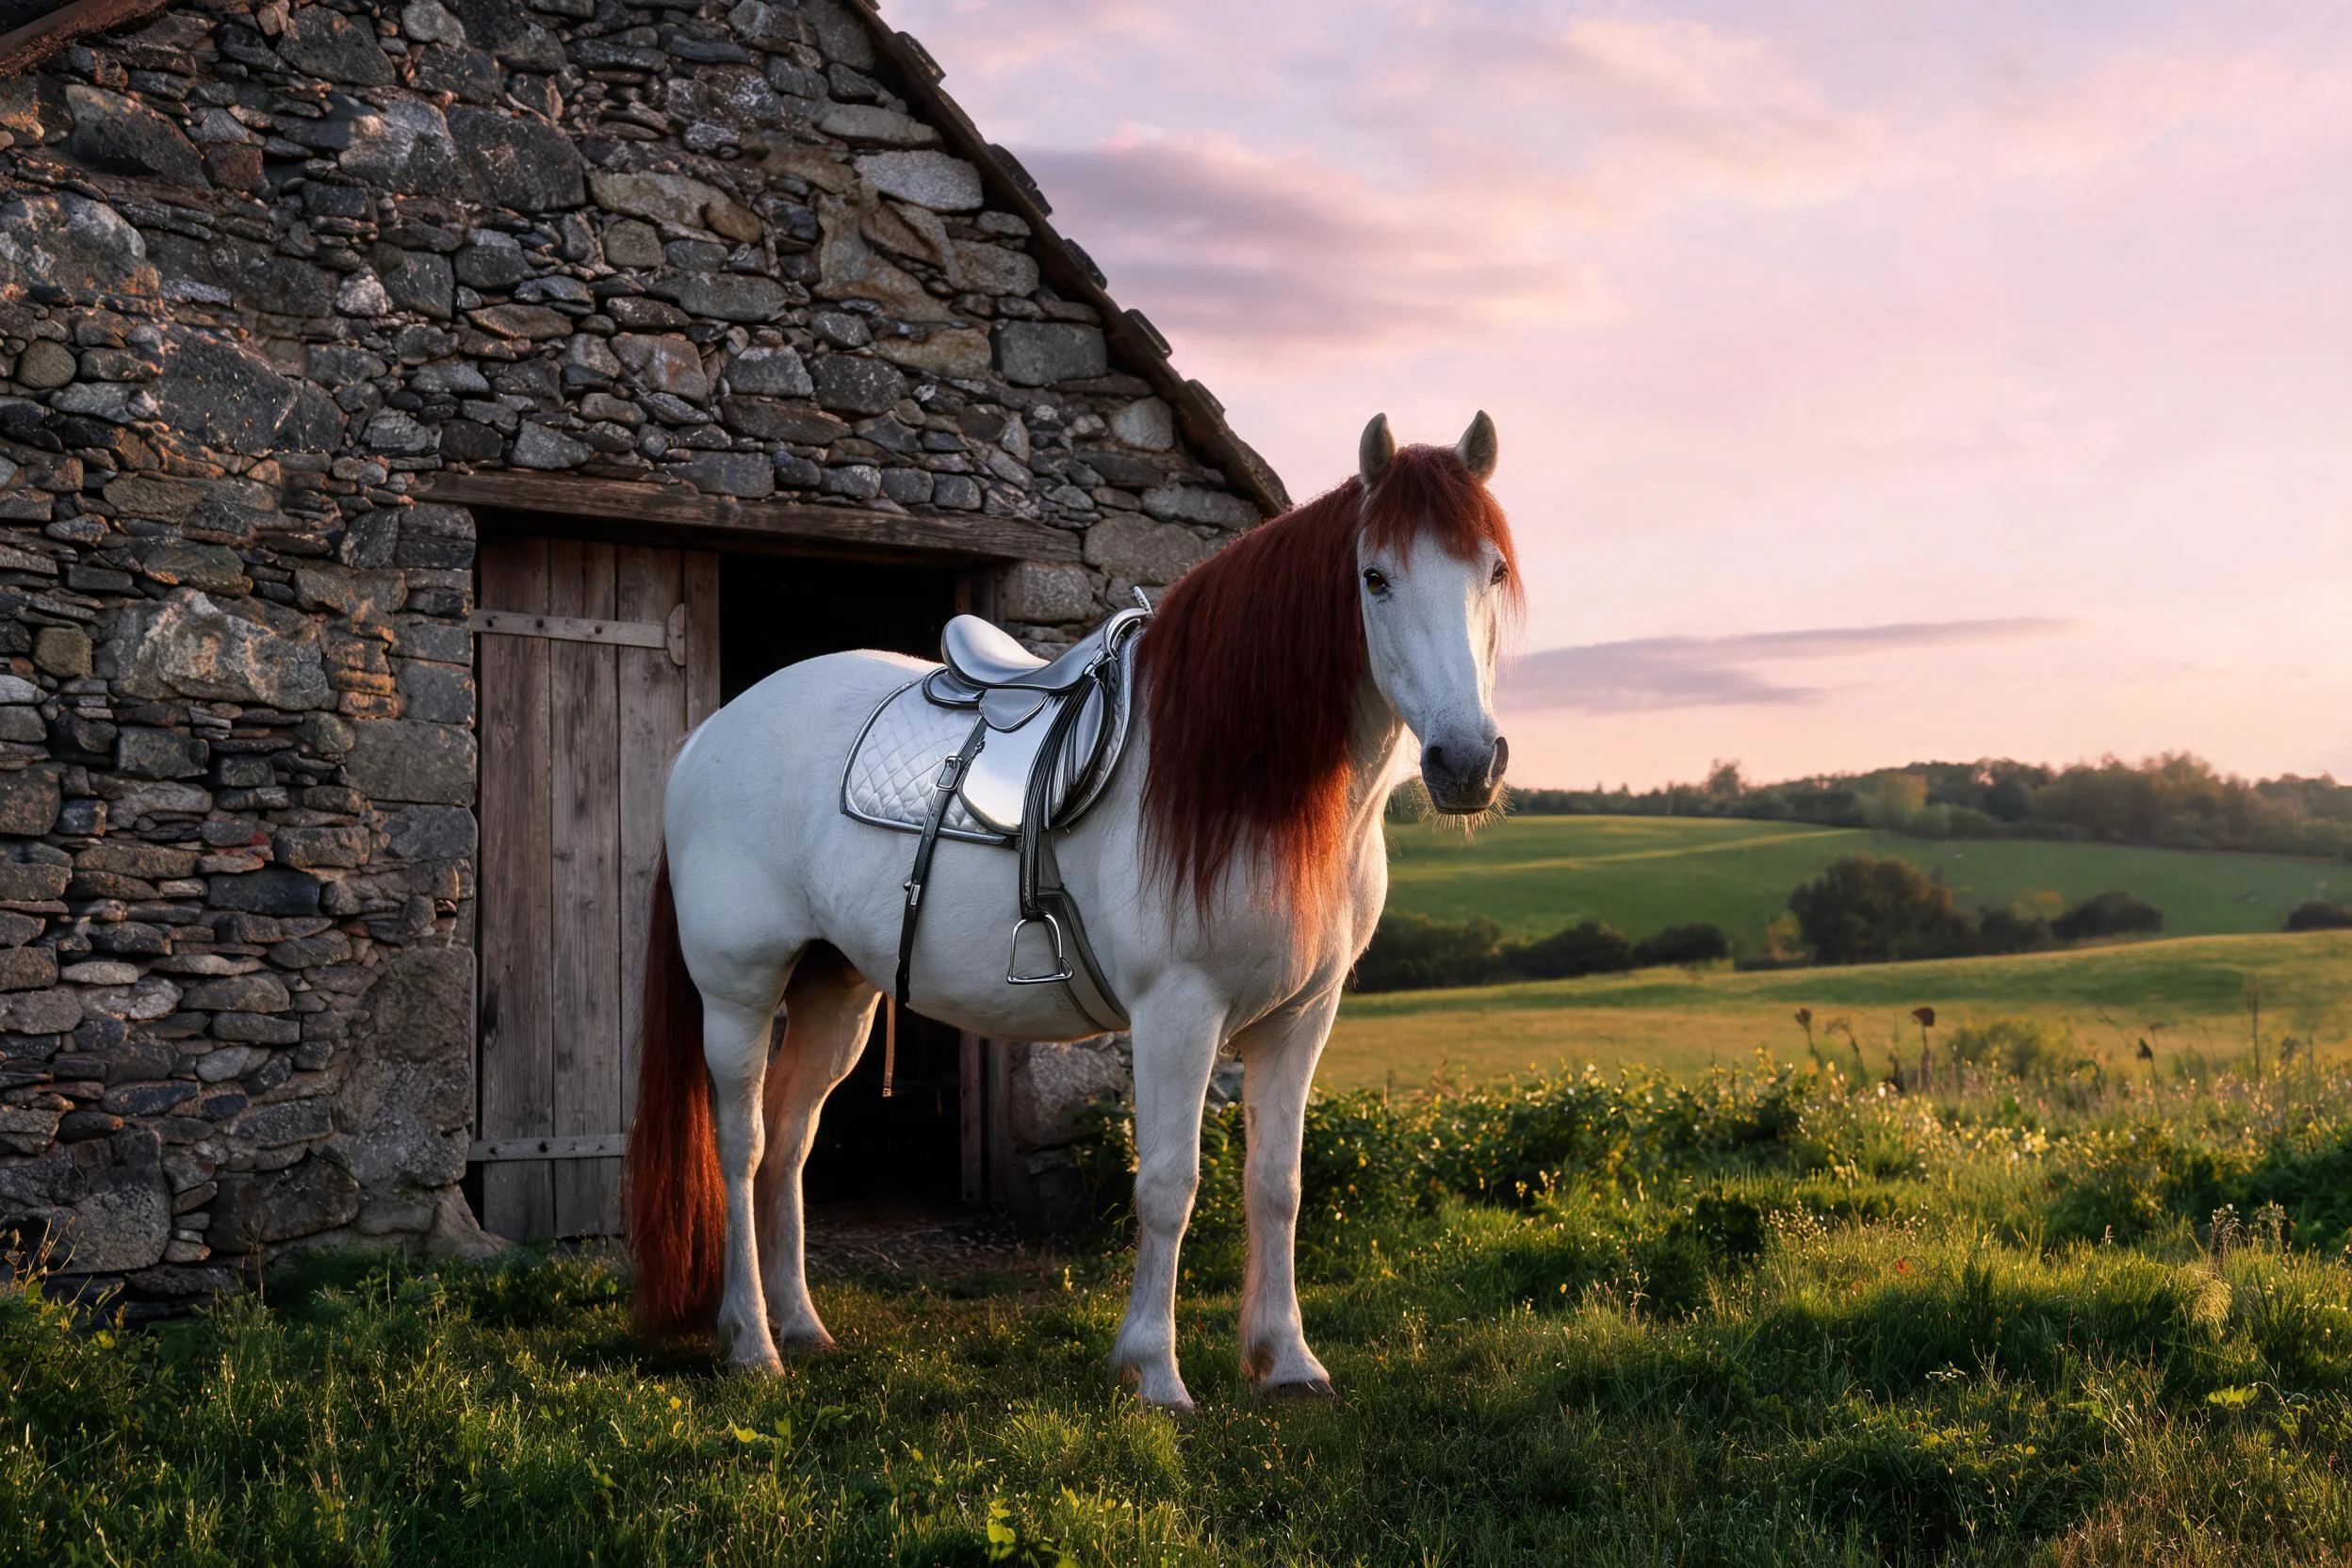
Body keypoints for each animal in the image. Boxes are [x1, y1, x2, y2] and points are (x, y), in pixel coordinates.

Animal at [626, 412, 1520, 1413]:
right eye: (1375, 578)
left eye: (1492, 571)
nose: (1466, 762)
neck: (1251, 783)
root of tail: (712, 732)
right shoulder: (1178, 1013)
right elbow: (1169, 1184)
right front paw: (1154, 1373)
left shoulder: (1301, 1017)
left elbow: (1276, 1184)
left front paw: (1286, 1361)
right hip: (739, 989)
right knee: (739, 1147)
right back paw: (750, 1344)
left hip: (836, 990)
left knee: (789, 1143)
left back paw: (802, 1328)